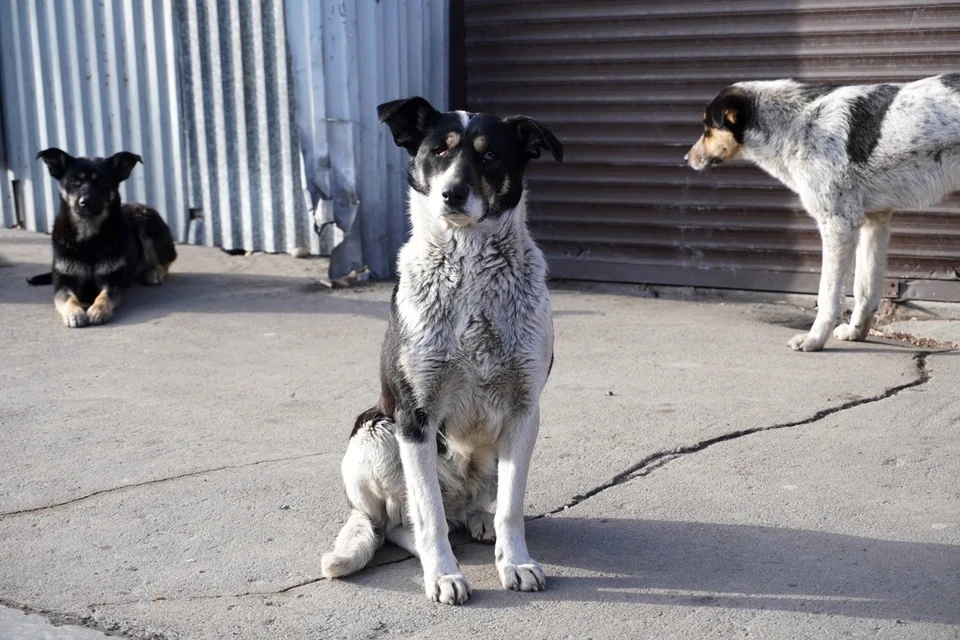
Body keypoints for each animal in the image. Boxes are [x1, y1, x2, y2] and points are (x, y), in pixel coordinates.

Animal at [29, 149, 176, 328]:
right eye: (74, 181)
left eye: (102, 181)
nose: (85, 203)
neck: (88, 236)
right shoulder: (62, 283)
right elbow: (68, 298)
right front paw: (75, 313)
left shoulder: (113, 281)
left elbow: (104, 296)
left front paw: (98, 310)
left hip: (144, 218)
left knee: (166, 260)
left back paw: (154, 272)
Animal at [322, 96, 564, 604]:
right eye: (439, 150)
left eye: (490, 155)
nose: (453, 193)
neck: (469, 262)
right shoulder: (414, 416)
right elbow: (427, 515)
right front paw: (444, 575)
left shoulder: (524, 412)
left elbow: (512, 508)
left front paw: (516, 562)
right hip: (375, 431)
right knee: (398, 522)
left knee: (477, 507)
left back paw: (479, 522)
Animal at [688, 76, 960, 356]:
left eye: (707, 128)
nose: (686, 158)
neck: (795, 123)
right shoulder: (874, 222)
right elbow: (865, 290)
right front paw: (856, 332)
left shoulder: (837, 225)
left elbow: (828, 295)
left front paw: (814, 339)